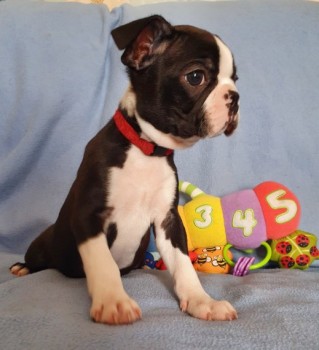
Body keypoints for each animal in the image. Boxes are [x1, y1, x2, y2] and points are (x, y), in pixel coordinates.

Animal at [10, 15, 240, 324]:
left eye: (235, 80)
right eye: (196, 77)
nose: (235, 97)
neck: (145, 150)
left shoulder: (168, 220)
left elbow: (184, 266)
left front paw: (202, 301)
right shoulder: (89, 215)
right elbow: (103, 262)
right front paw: (113, 301)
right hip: (43, 244)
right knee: (38, 258)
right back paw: (23, 267)